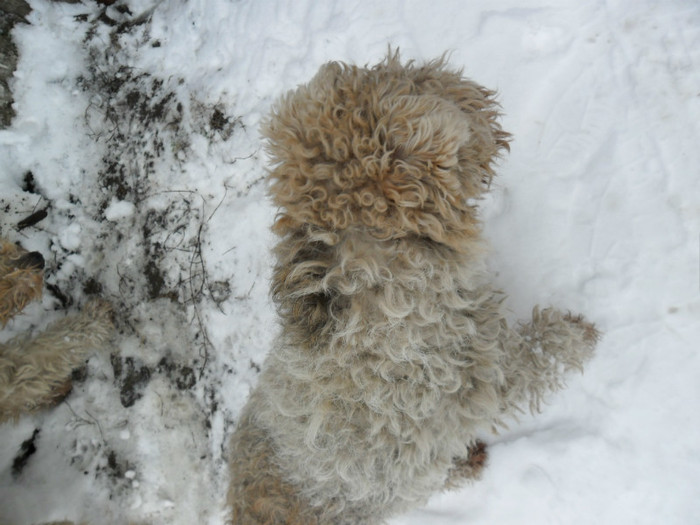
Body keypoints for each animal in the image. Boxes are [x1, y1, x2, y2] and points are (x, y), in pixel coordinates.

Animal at [227, 53, 600, 524]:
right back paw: (470, 463)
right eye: (414, 85)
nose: (470, 88)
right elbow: (536, 355)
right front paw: (579, 334)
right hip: (409, 481)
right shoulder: (479, 377)